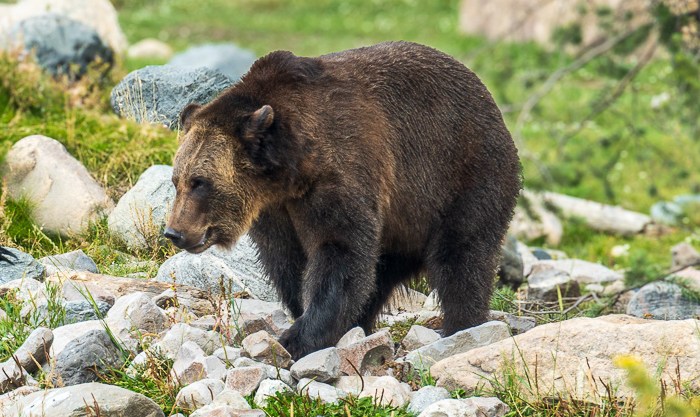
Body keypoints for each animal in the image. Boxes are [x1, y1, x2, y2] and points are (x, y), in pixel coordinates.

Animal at [164, 41, 521, 360]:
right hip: (401, 223)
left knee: (462, 256)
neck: (291, 170)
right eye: (177, 180)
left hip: (464, 175)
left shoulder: (339, 172)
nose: (174, 232)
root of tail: (488, 99)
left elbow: (340, 252)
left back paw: (462, 326)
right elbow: (288, 261)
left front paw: (299, 337)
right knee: (381, 272)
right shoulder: (275, 209)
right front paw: (304, 318)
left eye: (200, 182)